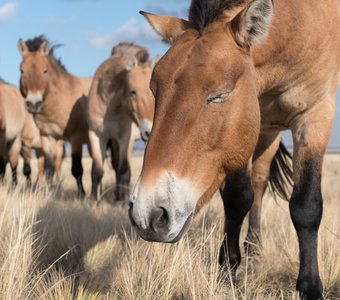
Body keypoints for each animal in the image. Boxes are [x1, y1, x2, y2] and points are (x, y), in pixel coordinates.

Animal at [17, 35, 91, 197]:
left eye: (45, 71)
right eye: (22, 70)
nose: (33, 104)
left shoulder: (75, 138)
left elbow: (77, 169)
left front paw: (82, 195)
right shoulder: (47, 138)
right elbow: (49, 169)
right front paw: (50, 191)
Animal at [87, 42, 157, 202]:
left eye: (153, 92)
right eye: (133, 91)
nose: (149, 131)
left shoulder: (126, 137)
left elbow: (124, 169)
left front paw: (123, 199)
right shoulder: (96, 135)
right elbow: (97, 170)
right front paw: (93, 199)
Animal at [128, 1, 340, 298]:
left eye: (220, 95)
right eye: (154, 90)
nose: (148, 215)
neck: (300, 22)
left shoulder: (316, 115)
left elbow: (306, 205)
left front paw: (310, 285)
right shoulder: (244, 131)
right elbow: (238, 198)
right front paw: (228, 270)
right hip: (265, 130)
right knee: (259, 183)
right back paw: (252, 248)